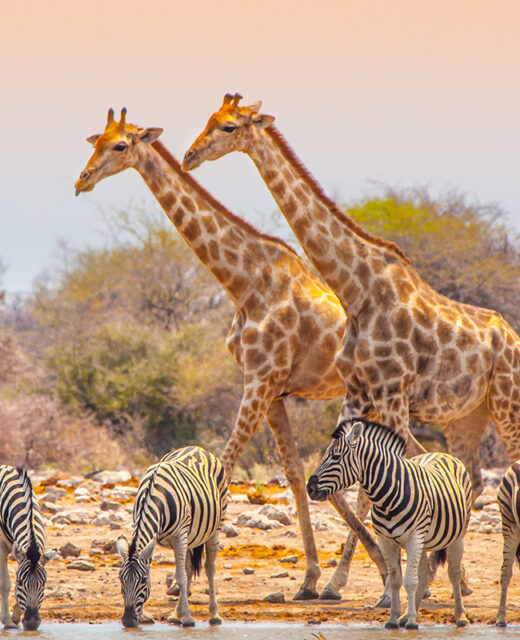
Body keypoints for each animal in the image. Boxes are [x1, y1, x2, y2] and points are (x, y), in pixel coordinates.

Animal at [0, 465, 56, 631]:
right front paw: (7, 621)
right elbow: (5, 583)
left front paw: (16, 615)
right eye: (19, 582)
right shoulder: (2, 546)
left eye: (43, 584)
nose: (31, 624)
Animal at [74, 108, 393, 600]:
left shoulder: (259, 380)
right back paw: (347, 579)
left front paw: (179, 577)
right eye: (96, 142)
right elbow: (293, 476)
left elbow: (224, 466)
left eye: (120, 146)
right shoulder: (274, 390)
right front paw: (308, 578)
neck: (244, 281)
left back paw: (357, 580)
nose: (82, 180)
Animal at [116, 445, 228, 628]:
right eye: (121, 579)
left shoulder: (179, 535)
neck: (153, 494)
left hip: (215, 527)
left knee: (209, 568)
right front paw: (144, 616)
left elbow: (180, 577)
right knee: (188, 568)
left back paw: (214, 615)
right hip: (191, 536)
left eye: (143, 580)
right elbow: (182, 574)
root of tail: (197, 447)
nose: (128, 621)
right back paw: (177, 614)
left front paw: (188, 618)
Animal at [182, 93, 520, 599]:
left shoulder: (393, 393)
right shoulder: (358, 392)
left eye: (227, 127)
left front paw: (405, 582)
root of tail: (513, 338)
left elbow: (401, 476)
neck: (357, 289)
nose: (190, 155)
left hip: (506, 404)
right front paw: (382, 580)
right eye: (208, 119)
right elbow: (342, 485)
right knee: (473, 476)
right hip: (466, 417)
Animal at [307, 418, 472, 629]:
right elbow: (395, 580)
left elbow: (410, 581)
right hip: (425, 540)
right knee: (424, 574)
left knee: (453, 573)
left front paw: (411, 622)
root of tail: (441, 453)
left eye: (335, 457)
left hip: (456, 535)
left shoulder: (414, 537)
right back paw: (407, 616)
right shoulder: (386, 540)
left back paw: (460, 616)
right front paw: (394, 619)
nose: (309, 488)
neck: (387, 497)